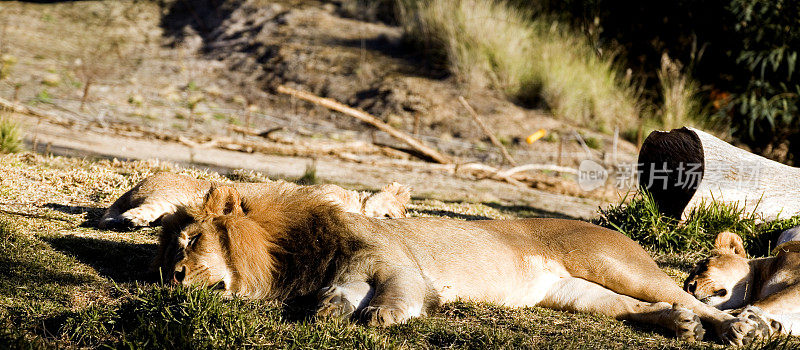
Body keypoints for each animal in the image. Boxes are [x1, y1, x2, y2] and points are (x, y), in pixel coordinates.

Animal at [162, 185, 768, 346]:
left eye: (190, 242)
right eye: (166, 261)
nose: (175, 281)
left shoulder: (396, 263)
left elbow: (393, 295)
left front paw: (384, 317)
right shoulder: (348, 271)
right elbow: (339, 296)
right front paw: (328, 314)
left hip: (615, 263)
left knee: (684, 293)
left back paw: (739, 328)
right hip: (570, 292)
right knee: (634, 307)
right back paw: (678, 325)